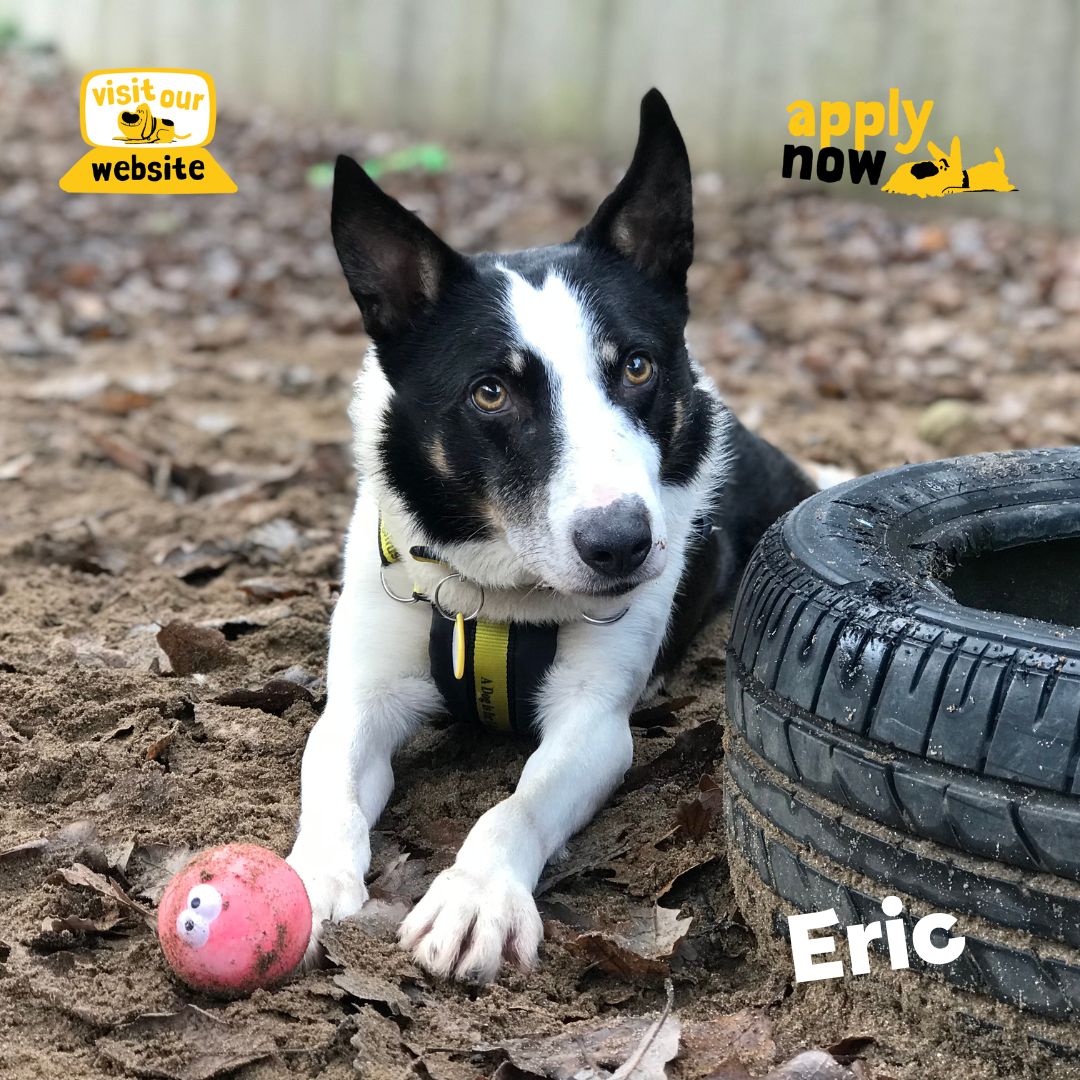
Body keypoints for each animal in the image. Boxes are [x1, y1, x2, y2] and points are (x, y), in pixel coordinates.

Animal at [287, 92, 812, 984]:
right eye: (491, 393)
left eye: (636, 367)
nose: (621, 544)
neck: (494, 593)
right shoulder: (363, 695)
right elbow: (329, 774)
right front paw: (310, 876)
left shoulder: (594, 725)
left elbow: (517, 804)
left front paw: (475, 896)